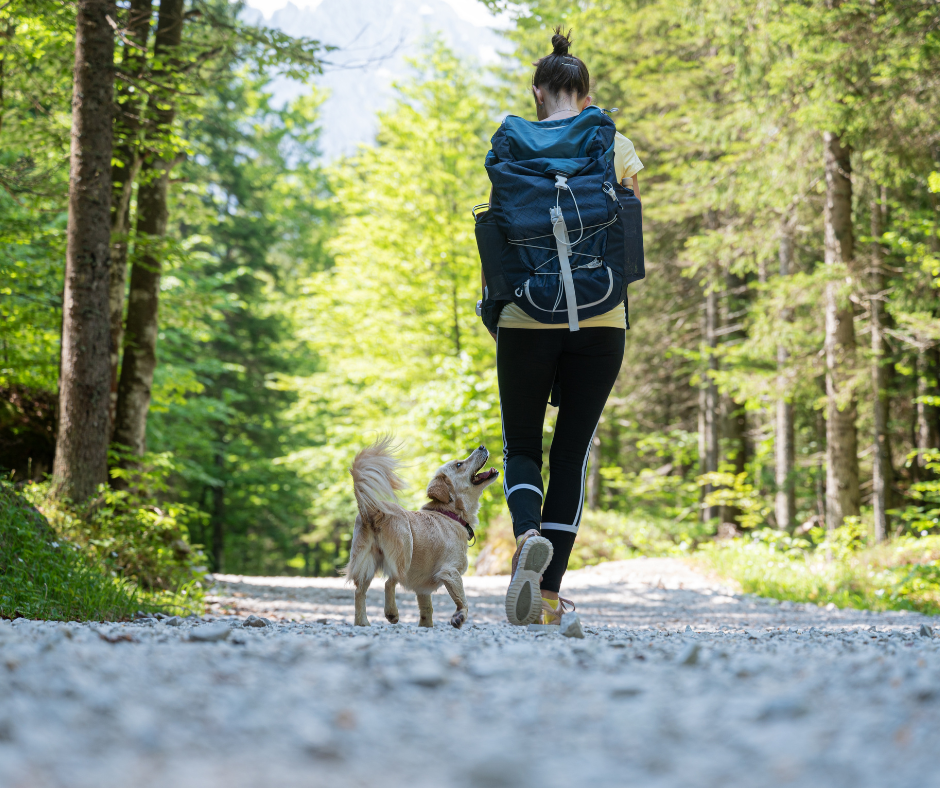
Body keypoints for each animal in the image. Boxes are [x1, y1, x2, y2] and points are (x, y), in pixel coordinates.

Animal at [346, 438, 500, 628]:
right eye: (458, 464)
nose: (482, 446)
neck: (450, 513)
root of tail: (374, 511)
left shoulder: (423, 589)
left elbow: (427, 610)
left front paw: (426, 626)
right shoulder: (450, 571)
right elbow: (463, 600)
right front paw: (459, 617)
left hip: (365, 562)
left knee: (359, 591)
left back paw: (362, 623)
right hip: (404, 552)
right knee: (389, 582)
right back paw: (392, 613)